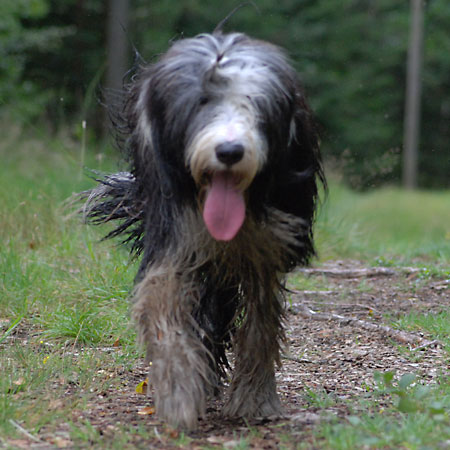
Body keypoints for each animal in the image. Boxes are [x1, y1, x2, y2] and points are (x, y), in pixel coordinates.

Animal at [83, 31, 325, 430]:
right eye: (200, 102)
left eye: (255, 103)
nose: (229, 151)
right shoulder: (177, 238)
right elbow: (164, 308)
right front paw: (179, 390)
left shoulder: (266, 247)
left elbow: (261, 321)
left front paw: (254, 399)